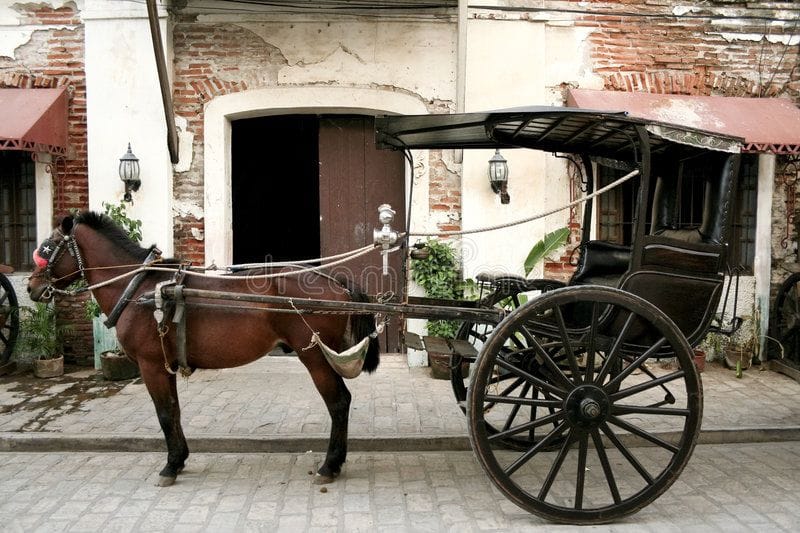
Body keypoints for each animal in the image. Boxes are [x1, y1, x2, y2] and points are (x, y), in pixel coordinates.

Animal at [27, 212, 380, 486]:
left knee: (338, 403)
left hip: (315, 355)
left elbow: (164, 413)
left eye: (47, 248)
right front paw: (180, 458)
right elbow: (174, 411)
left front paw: (170, 466)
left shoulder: (150, 365)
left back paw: (330, 464)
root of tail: (334, 281)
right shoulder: (163, 363)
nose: (32, 286)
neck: (138, 289)